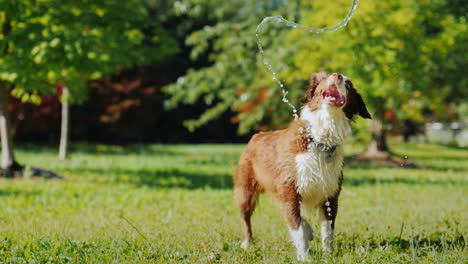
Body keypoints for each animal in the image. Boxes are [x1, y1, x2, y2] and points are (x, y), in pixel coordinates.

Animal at [232, 71, 372, 260]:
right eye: (325, 78)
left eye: (348, 85)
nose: (337, 75)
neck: (320, 140)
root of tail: (256, 136)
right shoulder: (289, 190)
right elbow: (297, 229)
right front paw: (305, 257)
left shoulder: (331, 194)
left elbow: (327, 231)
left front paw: (328, 256)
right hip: (246, 190)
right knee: (246, 218)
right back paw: (246, 243)